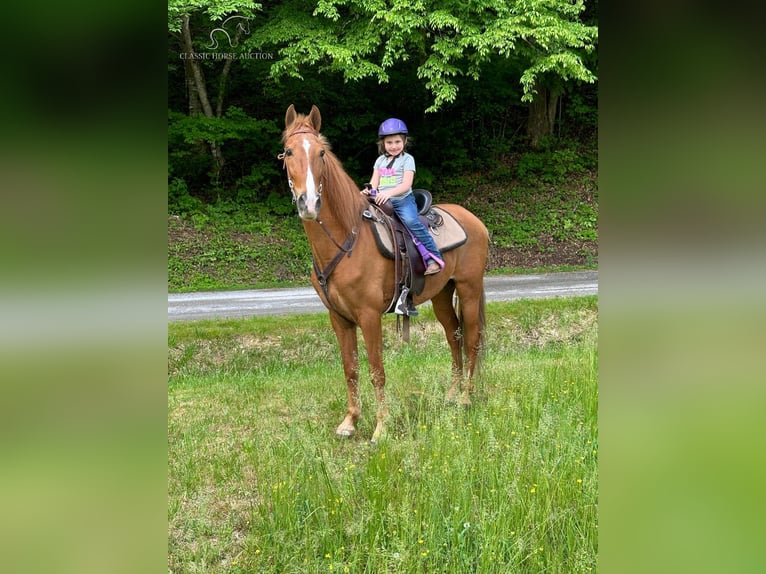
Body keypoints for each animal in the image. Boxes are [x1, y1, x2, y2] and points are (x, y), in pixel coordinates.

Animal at [280, 104, 488, 446]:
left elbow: (377, 369)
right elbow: (350, 368)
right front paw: (350, 421)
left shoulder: (369, 315)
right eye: (288, 151)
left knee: (471, 339)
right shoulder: (339, 318)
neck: (348, 239)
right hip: (443, 295)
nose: (308, 203)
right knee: (453, 336)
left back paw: (467, 398)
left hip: (469, 290)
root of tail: (475, 221)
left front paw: (381, 427)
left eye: (321, 153)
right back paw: (451, 394)